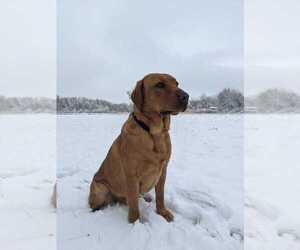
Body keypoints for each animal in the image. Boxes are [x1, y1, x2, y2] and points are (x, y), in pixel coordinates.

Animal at [88, 73, 189, 223]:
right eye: (160, 85)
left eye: (176, 83)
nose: (186, 96)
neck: (154, 133)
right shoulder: (131, 175)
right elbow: (134, 206)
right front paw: (135, 223)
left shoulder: (163, 171)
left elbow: (160, 196)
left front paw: (162, 212)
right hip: (99, 189)